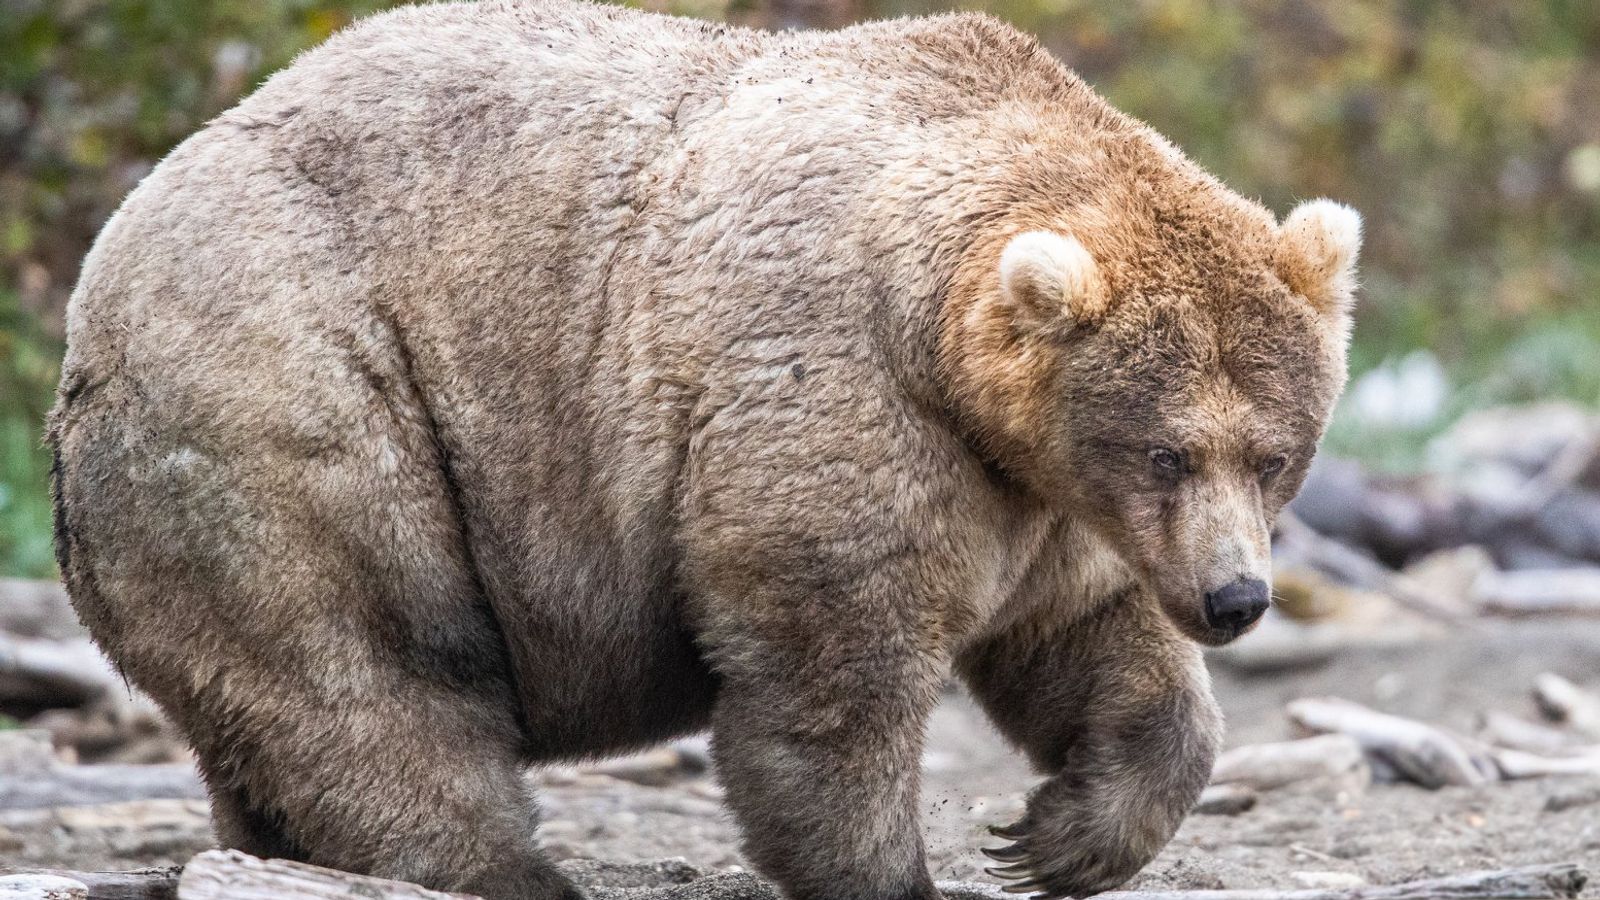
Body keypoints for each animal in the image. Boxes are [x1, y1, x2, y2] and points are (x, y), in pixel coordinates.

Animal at [47, 2, 1360, 899]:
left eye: (1273, 454)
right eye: (1167, 452)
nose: (1236, 599)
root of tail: (99, 275)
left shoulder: (1038, 495)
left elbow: (1088, 641)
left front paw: (1056, 836)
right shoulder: (837, 394)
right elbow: (831, 672)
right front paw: (895, 870)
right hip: (300, 395)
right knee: (367, 669)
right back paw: (507, 870)